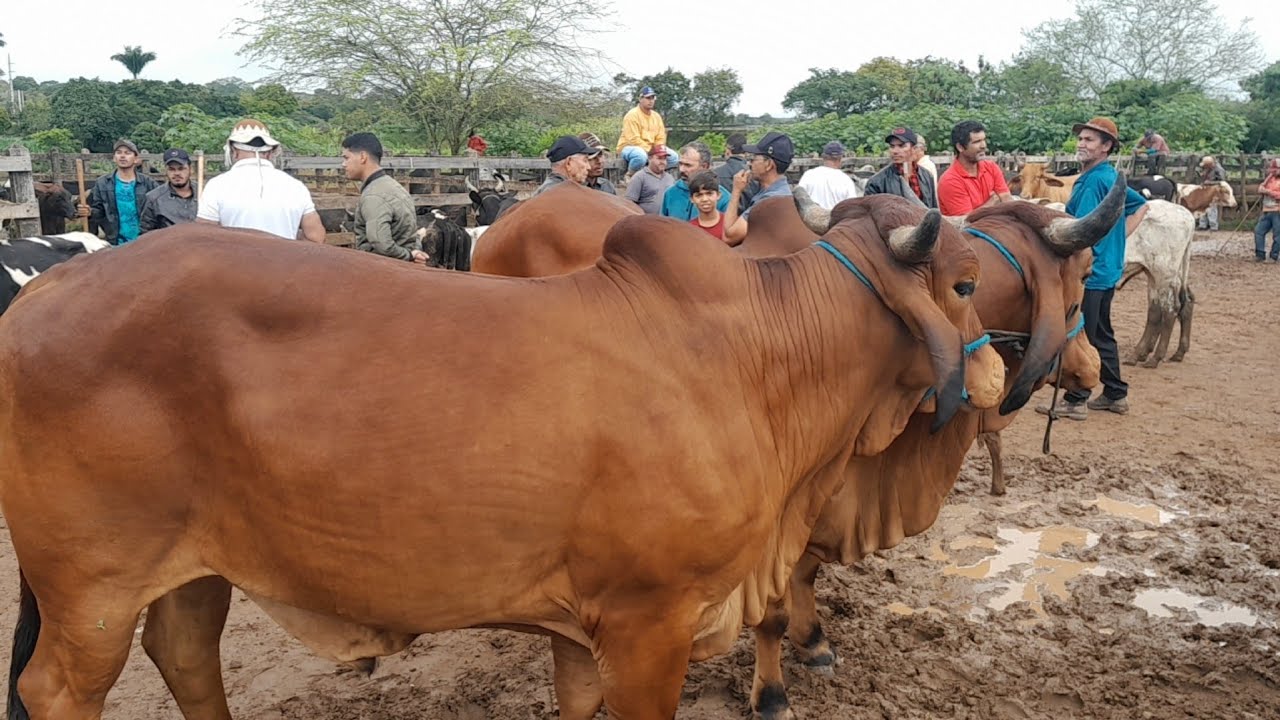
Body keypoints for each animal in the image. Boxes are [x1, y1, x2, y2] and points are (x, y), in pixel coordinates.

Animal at [1, 215, 1004, 720]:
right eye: (961, 283)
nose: (998, 369)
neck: (763, 357)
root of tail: (48, 286)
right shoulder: (649, 621)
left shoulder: (584, 627)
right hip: (90, 588)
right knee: (55, 690)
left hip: (193, 565)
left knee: (185, 654)